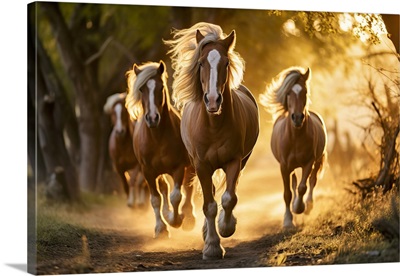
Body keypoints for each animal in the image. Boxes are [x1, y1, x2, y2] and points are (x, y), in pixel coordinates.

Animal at [123, 61, 195, 238]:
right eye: (141, 89)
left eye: (161, 87)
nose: (152, 118)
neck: (157, 138)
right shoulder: (148, 171)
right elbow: (155, 199)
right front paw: (161, 228)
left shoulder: (178, 167)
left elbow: (176, 196)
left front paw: (176, 220)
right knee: (164, 188)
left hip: (190, 166)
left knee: (188, 187)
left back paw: (188, 217)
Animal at [165, 22, 260, 260]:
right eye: (201, 63)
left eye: (226, 63)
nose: (213, 100)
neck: (213, 126)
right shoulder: (201, 165)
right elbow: (209, 205)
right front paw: (212, 247)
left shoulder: (234, 161)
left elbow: (229, 198)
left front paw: (226, 228)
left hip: (242, 161)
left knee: (228, 191)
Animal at [260, 67, 328, 229]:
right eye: (288, 93)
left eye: (305, 91)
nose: (297, 118)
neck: (296, 137)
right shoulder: (284, 167)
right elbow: (287, 193)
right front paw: (287, 221)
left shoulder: (308, 162)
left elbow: (303, 187)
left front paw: (299, 207)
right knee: (294, 183)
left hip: (317, 162)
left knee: (312, 181)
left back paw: (308, 205)